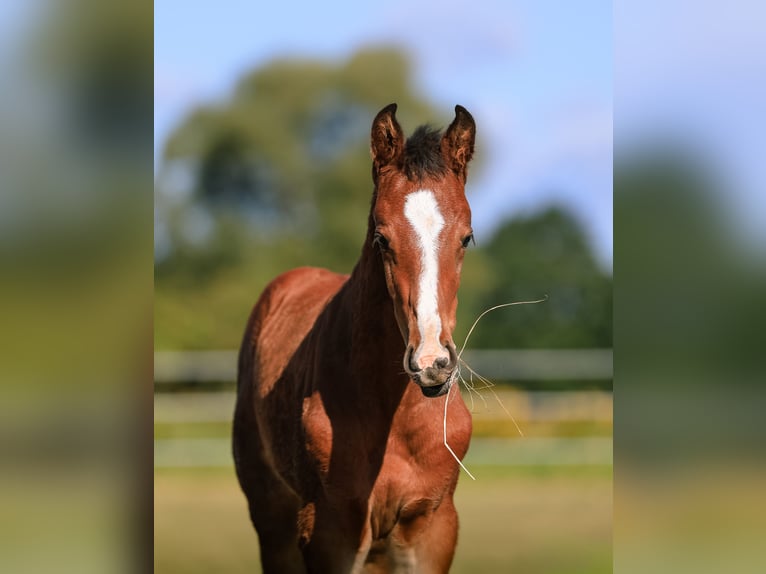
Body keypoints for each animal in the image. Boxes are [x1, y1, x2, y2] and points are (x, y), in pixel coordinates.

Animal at [233, 103, 476, 573]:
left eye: (467, 238)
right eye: (381, 238)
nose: (432, 363)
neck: (394, 417)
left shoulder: (434, 525)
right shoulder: (330, 529)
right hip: (272, 520)